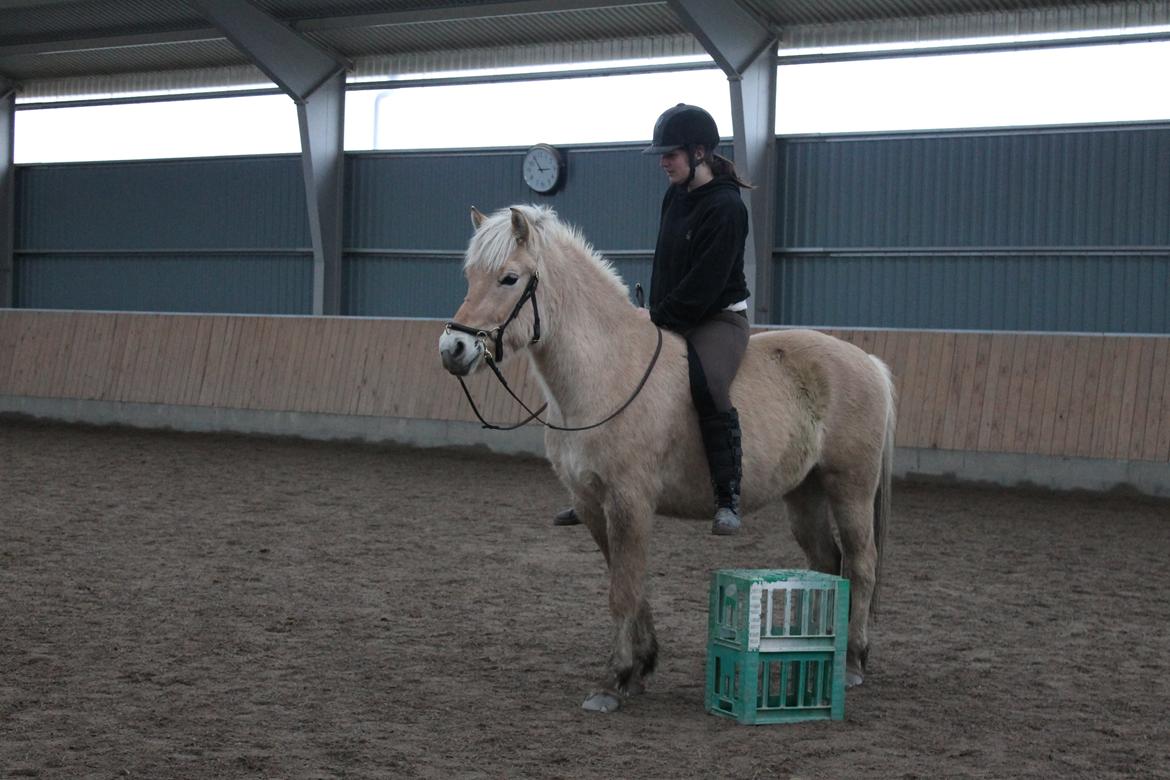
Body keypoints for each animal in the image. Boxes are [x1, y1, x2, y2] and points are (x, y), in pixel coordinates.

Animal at [439, 203, 893, 715]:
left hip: (850, 487)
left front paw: (613, 681)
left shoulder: (629, 503)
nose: (453, 349)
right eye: (471, 276)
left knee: (860, 564)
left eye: (509, 278)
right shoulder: (593, 505)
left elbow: (622, 591)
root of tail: (868, 362)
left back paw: (852, 662)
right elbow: (630, 582)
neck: (609, 371)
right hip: (804, 494)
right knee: (826, 563)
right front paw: (641, 667)